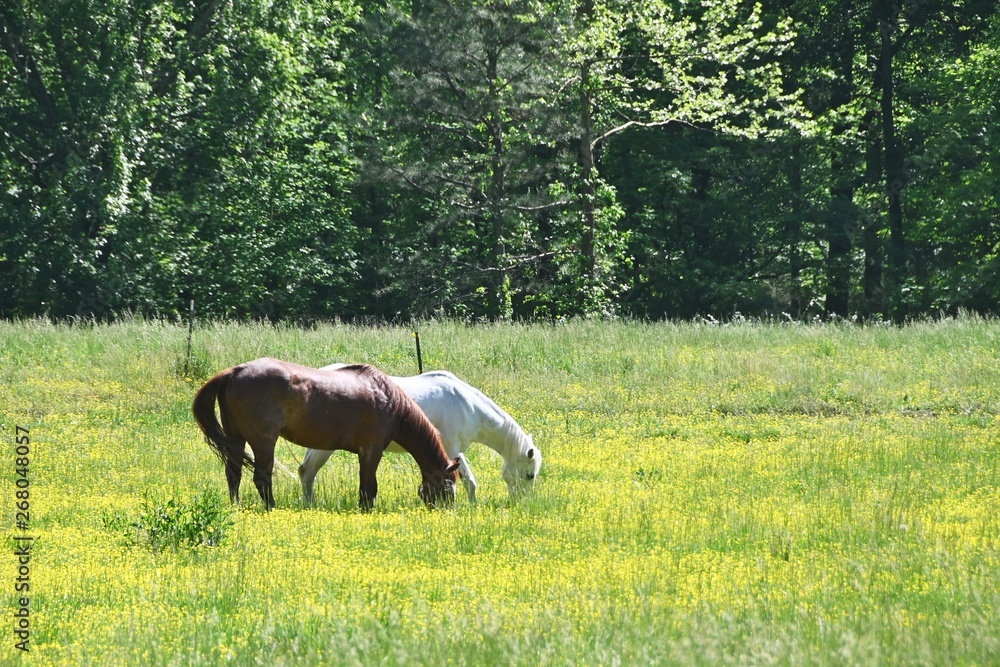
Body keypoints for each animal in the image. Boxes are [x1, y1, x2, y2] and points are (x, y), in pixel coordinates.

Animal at [191, 360, 460, 512]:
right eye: (448, 486)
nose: (447, 512)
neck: (388, 400)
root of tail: (234, 372)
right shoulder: (371, 451)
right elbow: (368, 488)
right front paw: (366, 511)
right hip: (263, 441)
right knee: (262, 478)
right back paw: (271, 508)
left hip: (235, 439)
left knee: (233, 474)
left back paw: (235, 506)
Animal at [298, 368, 540, 504]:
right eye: (530, 475)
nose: (521, 503)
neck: (467, 404)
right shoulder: (452, 448)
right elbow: (469, 481)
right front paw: (473, 507)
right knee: (307, 472)